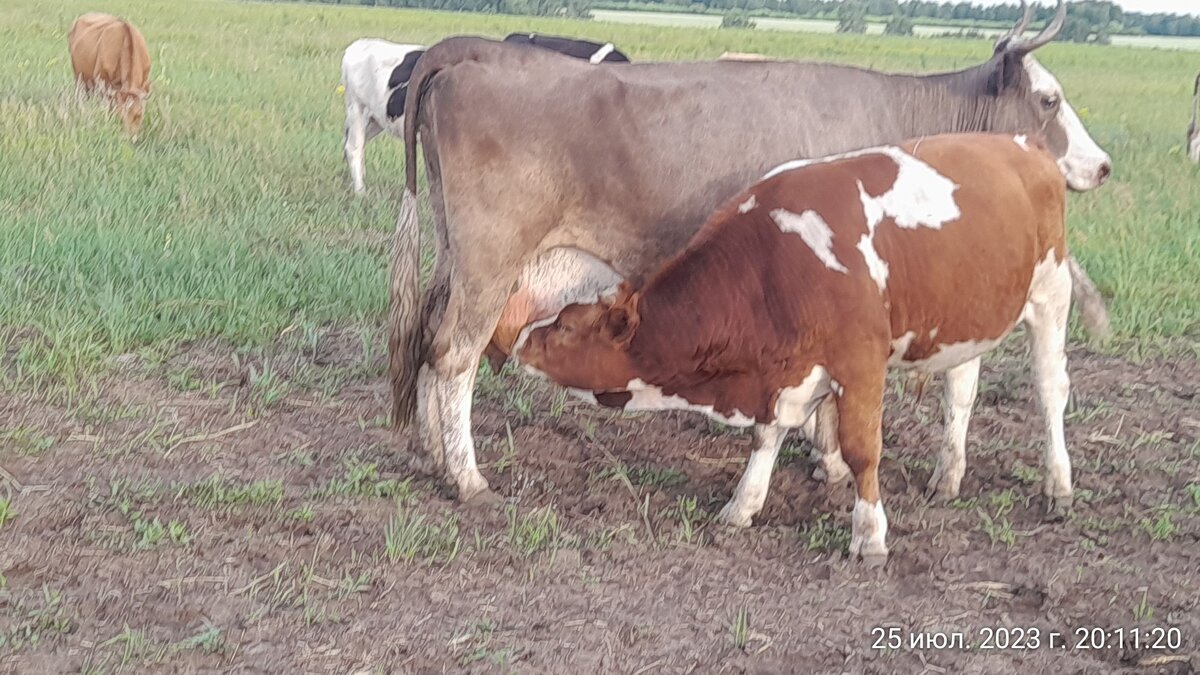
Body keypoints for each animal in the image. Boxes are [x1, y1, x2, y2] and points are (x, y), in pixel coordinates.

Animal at [511, 132, 1075, 562]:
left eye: (566, 325)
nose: (519, 340)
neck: (773, 262)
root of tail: (1022, 143)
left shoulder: (860, 361)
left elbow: (862, 449)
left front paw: (869, 535)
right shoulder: (782, 369)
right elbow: (766, 436)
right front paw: (743, 505)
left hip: (1051, 294)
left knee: (1051, 390)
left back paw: (1058, 484)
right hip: (966, 317)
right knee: (960, 392)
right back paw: (948, 474)